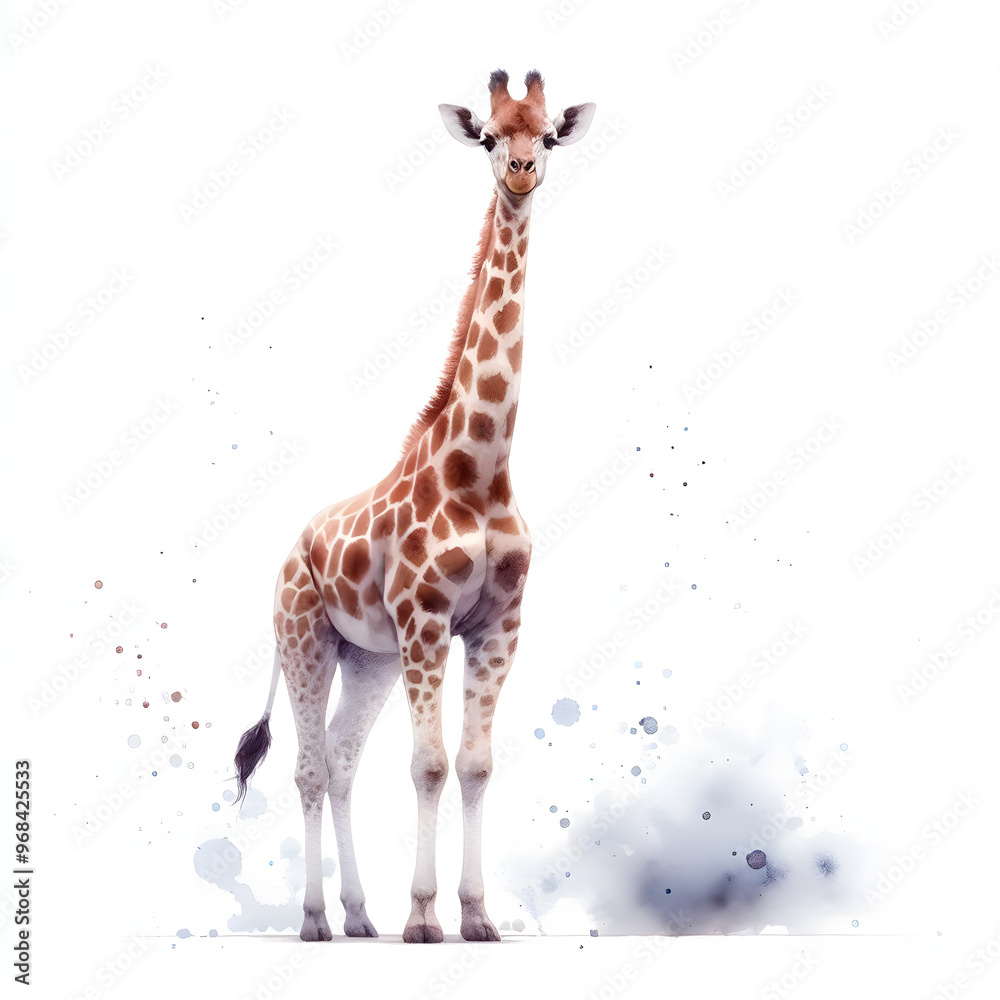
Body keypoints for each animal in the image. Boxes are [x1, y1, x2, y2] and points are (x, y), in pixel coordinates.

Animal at [235, 69, 595, 943]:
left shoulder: (498, 624)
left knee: (339, 762)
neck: (482, 471)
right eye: (491, 137)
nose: (522, 173)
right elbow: (428, 764)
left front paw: (478, 917)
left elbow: (475, 763)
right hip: (305, 639)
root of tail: (286, 555)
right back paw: (315, 921)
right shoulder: (428, 619)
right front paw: (426, 918)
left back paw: (360, 916)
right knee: (306, 766)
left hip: (367, 658)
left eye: (548, 135)